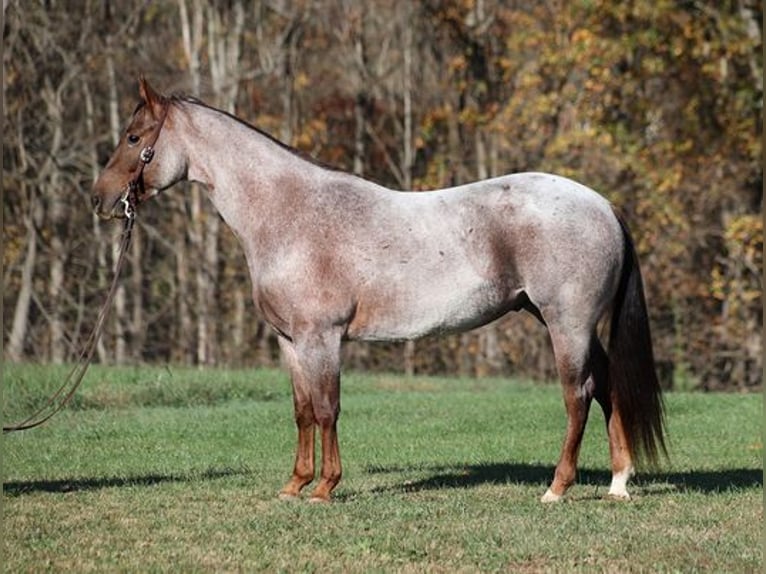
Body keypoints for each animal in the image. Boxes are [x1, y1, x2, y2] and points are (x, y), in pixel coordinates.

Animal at [93, 80, 664, 504]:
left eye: (133, 136)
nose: (100, 199)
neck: (290, 212)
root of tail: (603, 205)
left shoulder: (322, 338)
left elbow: (327, 408)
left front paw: (324, 487)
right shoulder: (291, 341)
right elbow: (302, 410)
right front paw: (294, 485)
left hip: (566, 323)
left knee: (579, 395)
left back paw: (557, 488)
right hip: (565, 322)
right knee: (608, 386)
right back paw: (618, 483)